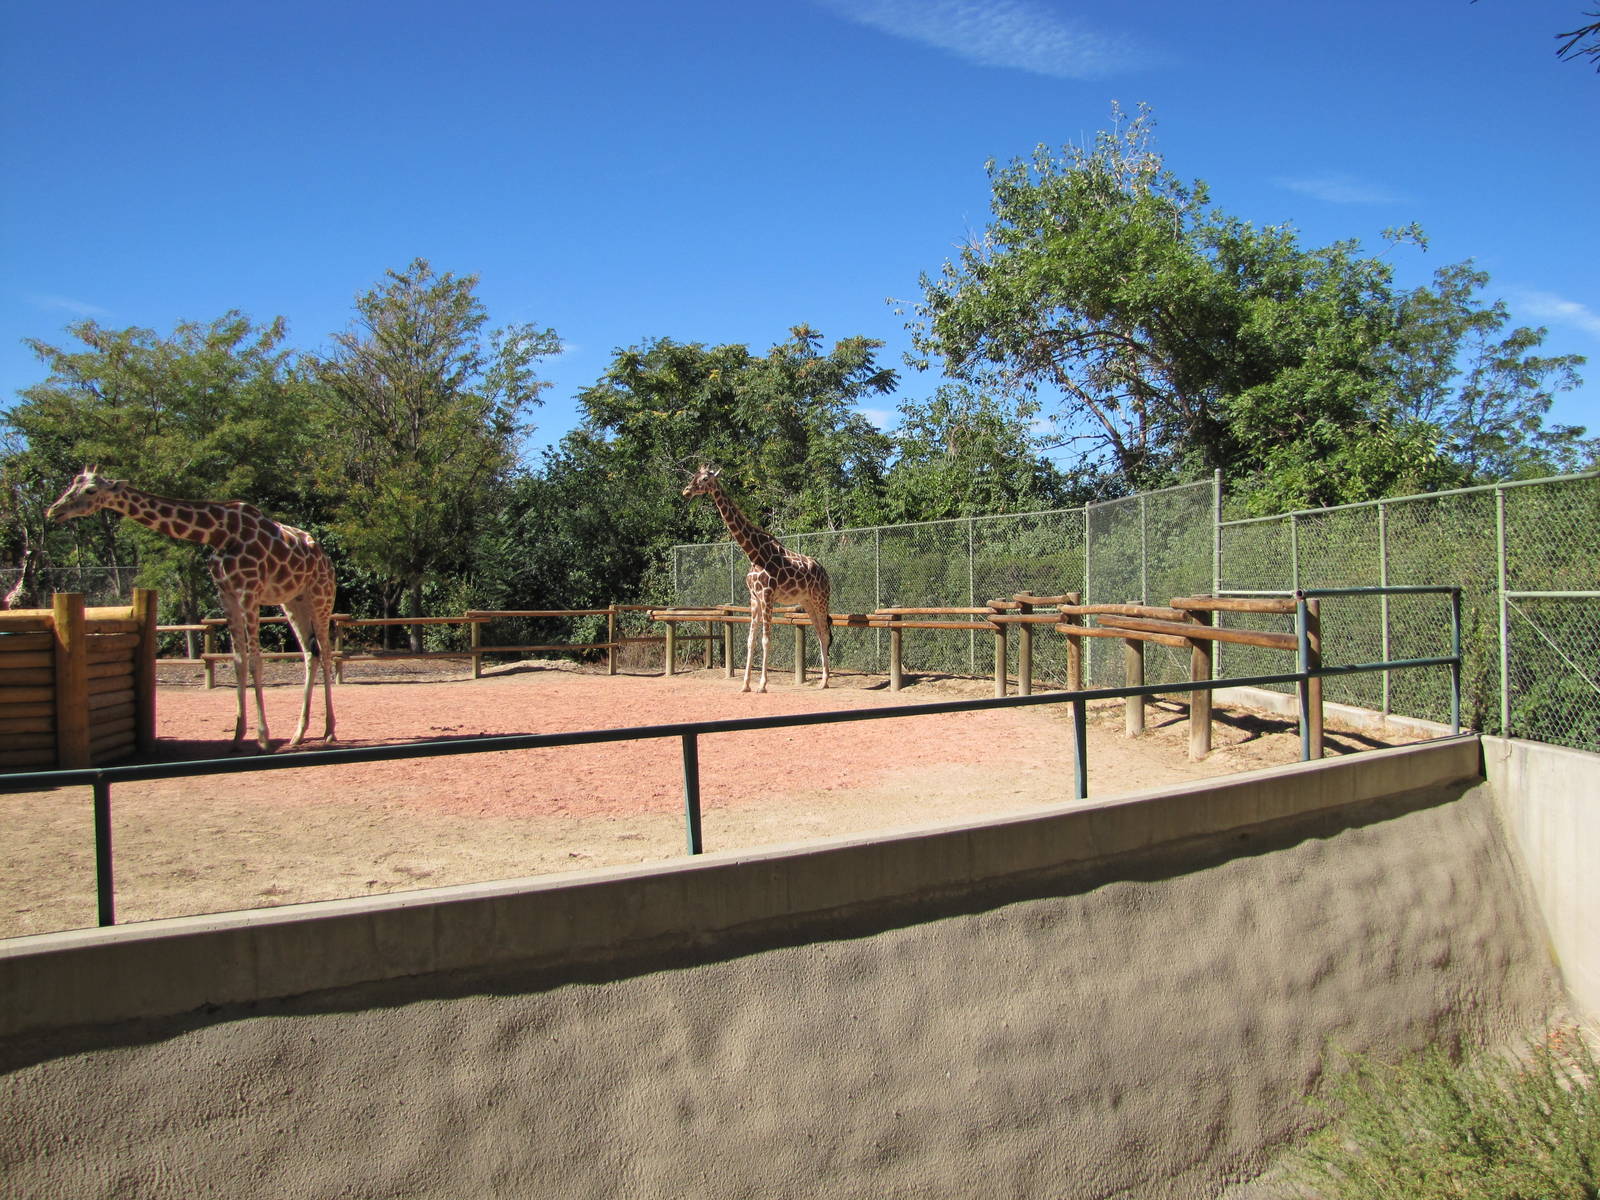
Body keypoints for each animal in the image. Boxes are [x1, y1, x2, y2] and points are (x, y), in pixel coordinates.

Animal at [46, 468, 337, 750]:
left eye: (90, 490)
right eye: (72, 484)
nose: (54, 510)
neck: (219, 533)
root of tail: (325, 558)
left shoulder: (249, 593)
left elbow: (256, 662)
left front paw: (263, 738)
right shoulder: (226, 595)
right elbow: (238, 661)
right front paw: (237, 736)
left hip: (320, 596)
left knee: (325, 653)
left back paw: (329, 732)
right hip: (292, 601)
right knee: (309, 653)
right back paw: (298, 734)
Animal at [682, 464, 831, 693]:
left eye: (705, 478)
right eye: (694, 476)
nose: (686, 491)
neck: (753, 553)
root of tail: (825, 573)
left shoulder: (768, 595)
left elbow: (765, 640)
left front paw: (762, 685)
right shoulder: (754, 597)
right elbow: (750, 640)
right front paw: (745, 685)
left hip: (821, 599)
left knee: (824, 633)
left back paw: (825, 682)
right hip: (807, 602)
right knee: (819, 633)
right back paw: (823, 681)